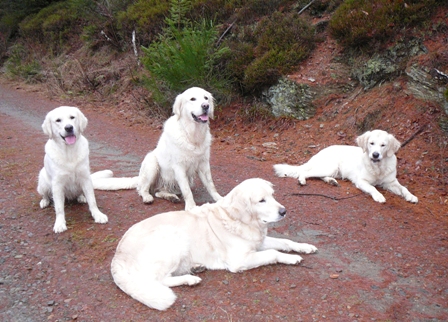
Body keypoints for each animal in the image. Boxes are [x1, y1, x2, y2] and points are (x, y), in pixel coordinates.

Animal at [93, 87, 222, 210]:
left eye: (206, 98)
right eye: (192, 99)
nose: (206, 106)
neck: (192, 135)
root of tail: (139, 178)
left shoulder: (204, 164)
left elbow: (211, 185)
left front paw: (219, 199)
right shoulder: (179, 167)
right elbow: (187, 191)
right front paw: (191, 207)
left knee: (159, 192)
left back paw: (171, 197)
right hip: (152, 164)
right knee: (143, 189)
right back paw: (147, 198)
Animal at [110, 177, 316, 310]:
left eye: (273, 195)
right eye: (261, 200)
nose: (284, 211)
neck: (241, 221)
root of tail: (117, 255)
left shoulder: (259, 242)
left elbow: (285, 241)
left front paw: (305, 247)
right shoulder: (239, 260)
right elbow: (273, 253)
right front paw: (292, 258)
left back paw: (196, 268)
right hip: (173, 238)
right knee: (159, 280)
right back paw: (190, 279)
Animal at [274, 129, 418, 203]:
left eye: (383, 145)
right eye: (371, 143)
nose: (375, 155)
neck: (378, 167)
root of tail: (319, 151)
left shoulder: (390, 182)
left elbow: (404, 188)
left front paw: (411, 196)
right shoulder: (361, 181)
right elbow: (372, 188)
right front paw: (379, 196)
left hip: (332, 170)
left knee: (319, 176)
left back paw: (331, 181)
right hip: (329, 167)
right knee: (305, 173)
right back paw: (302, 180)